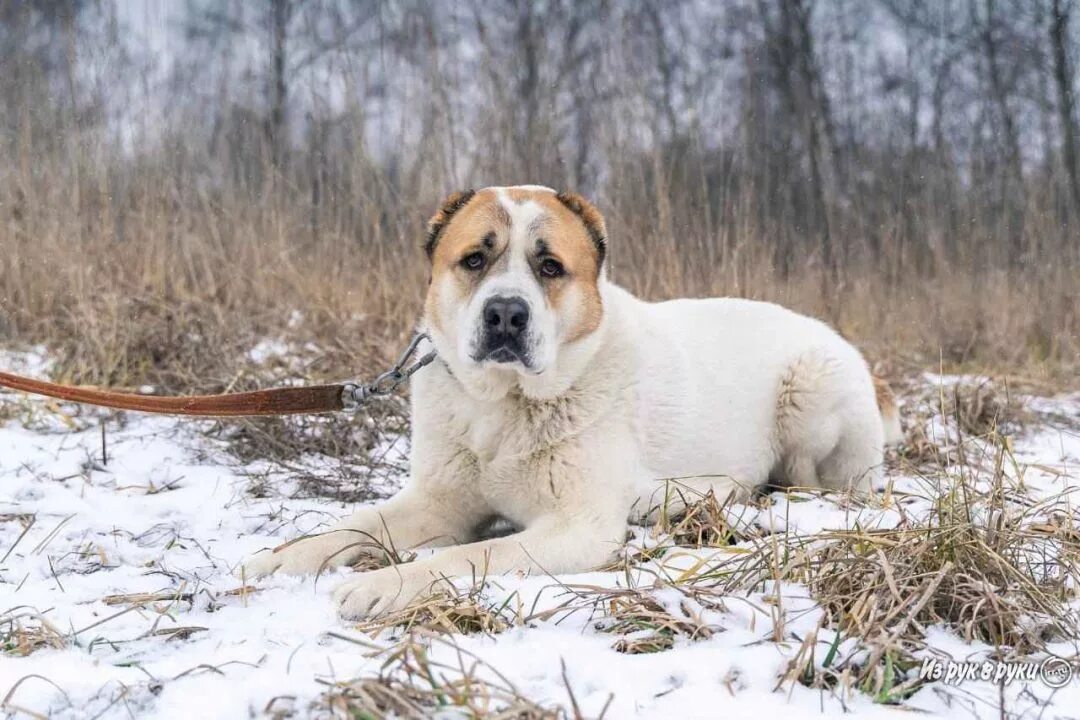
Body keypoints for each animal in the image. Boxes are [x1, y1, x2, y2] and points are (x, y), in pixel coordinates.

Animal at [238, 187, 902, 621]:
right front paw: (275, 560)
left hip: (810, 390)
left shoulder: (574, 528)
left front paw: (384, 584)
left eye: (550, 267)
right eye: (474, 259)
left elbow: (468, 554)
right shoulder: (438, 501)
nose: (506, 314)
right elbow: (352, 526)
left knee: (801, 483)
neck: (503, 405)